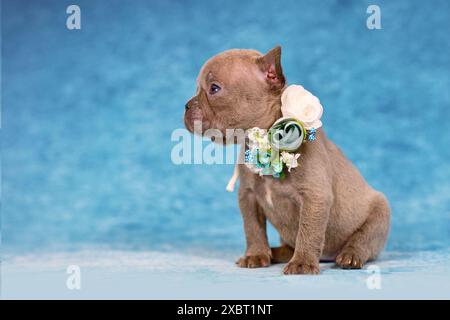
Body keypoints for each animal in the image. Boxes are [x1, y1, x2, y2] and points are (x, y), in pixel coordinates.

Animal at [185, 46, 388, 274]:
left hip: (380, 214)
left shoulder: (314, 198)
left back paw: (350, 256)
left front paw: (303, 263)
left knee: (364, 240)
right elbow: (253, 228)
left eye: (214, 88)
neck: (263, 143)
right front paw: (256, 255)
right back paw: (275, 253)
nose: (186, 106)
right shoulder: (248, 197)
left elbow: (308, 231)